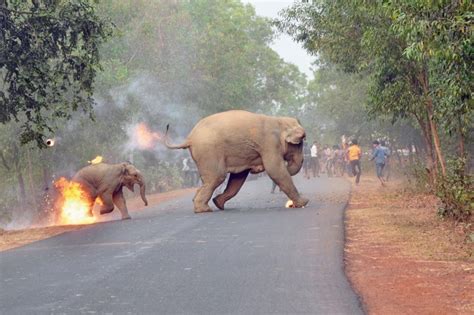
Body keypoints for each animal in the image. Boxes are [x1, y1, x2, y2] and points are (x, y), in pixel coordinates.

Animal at [165, 110, 310, 214]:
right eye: (300, 142)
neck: (279, 121)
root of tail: (189, 138)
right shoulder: (269, 143)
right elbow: (275, 170)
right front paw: (304, 203)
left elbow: (238, 178)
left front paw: (218, 202)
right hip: (209, 151)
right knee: (217, 177)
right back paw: (204, 210)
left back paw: (209, 205)